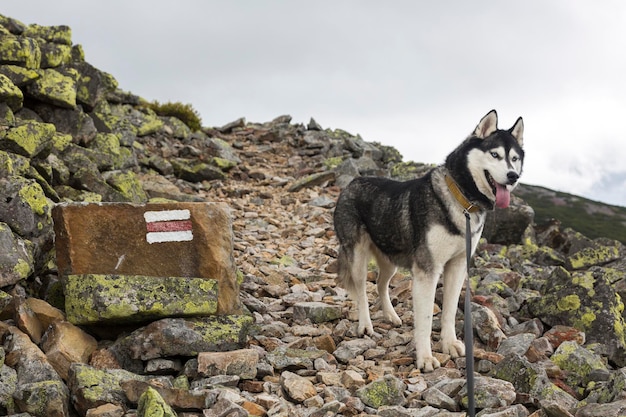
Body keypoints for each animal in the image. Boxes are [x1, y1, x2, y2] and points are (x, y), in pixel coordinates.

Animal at [332, 109, 520, 370]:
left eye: (514, 158)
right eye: (495, 154)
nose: (513, 176)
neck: (461, 200)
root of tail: (352, 182)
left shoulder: (457, 266)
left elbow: (449, 310)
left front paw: (449, 344)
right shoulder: (427, 271)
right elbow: (425, 318)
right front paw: (425, 357)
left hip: (390, 258)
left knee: (380, 284)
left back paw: (391, 315)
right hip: (358, 257)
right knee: (361, 289)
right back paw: (366, 325)